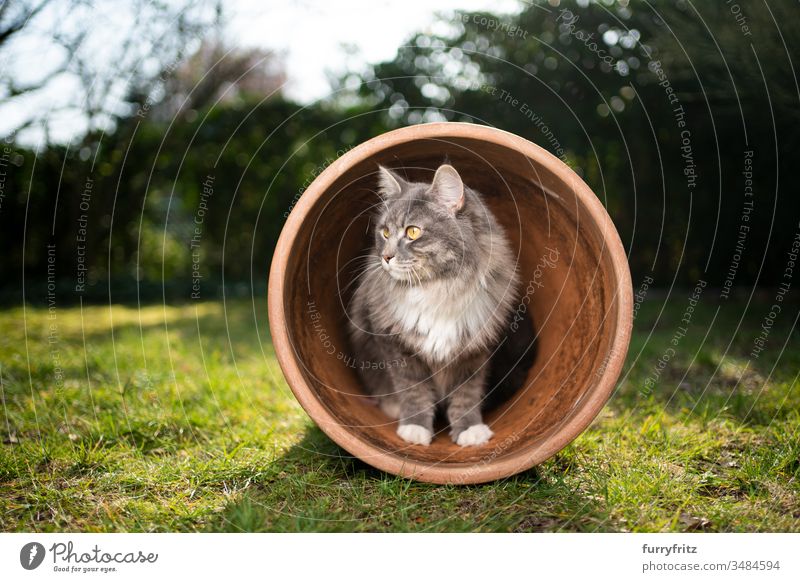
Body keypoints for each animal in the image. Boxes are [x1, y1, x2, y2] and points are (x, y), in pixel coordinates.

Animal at [346, 165, 520, 452]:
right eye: (385, 233)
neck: (439, 289)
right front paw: (415, 430)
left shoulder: (473, 351)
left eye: (413, 232)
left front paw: (470, 431)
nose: (385, 257)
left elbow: (466, 396)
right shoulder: (397, 347)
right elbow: (413, 392)